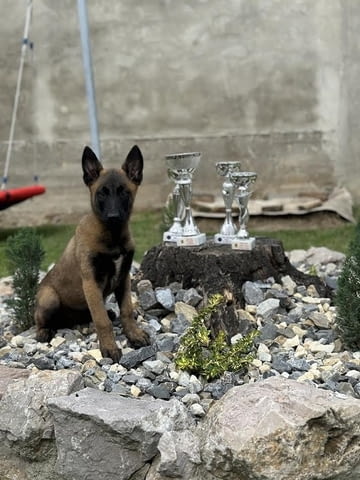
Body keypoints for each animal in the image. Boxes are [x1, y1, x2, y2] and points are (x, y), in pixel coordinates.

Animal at [34, 144, 149, 362]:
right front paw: (109, 347)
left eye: (124, 192)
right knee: (39, 320)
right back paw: (44, 332)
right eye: (101, 193)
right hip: (49, 298)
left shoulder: (124, 278)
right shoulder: (91, 282)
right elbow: (102, 321)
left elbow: (127, 310)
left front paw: (134, 335)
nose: (113, 217)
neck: (112, 236)